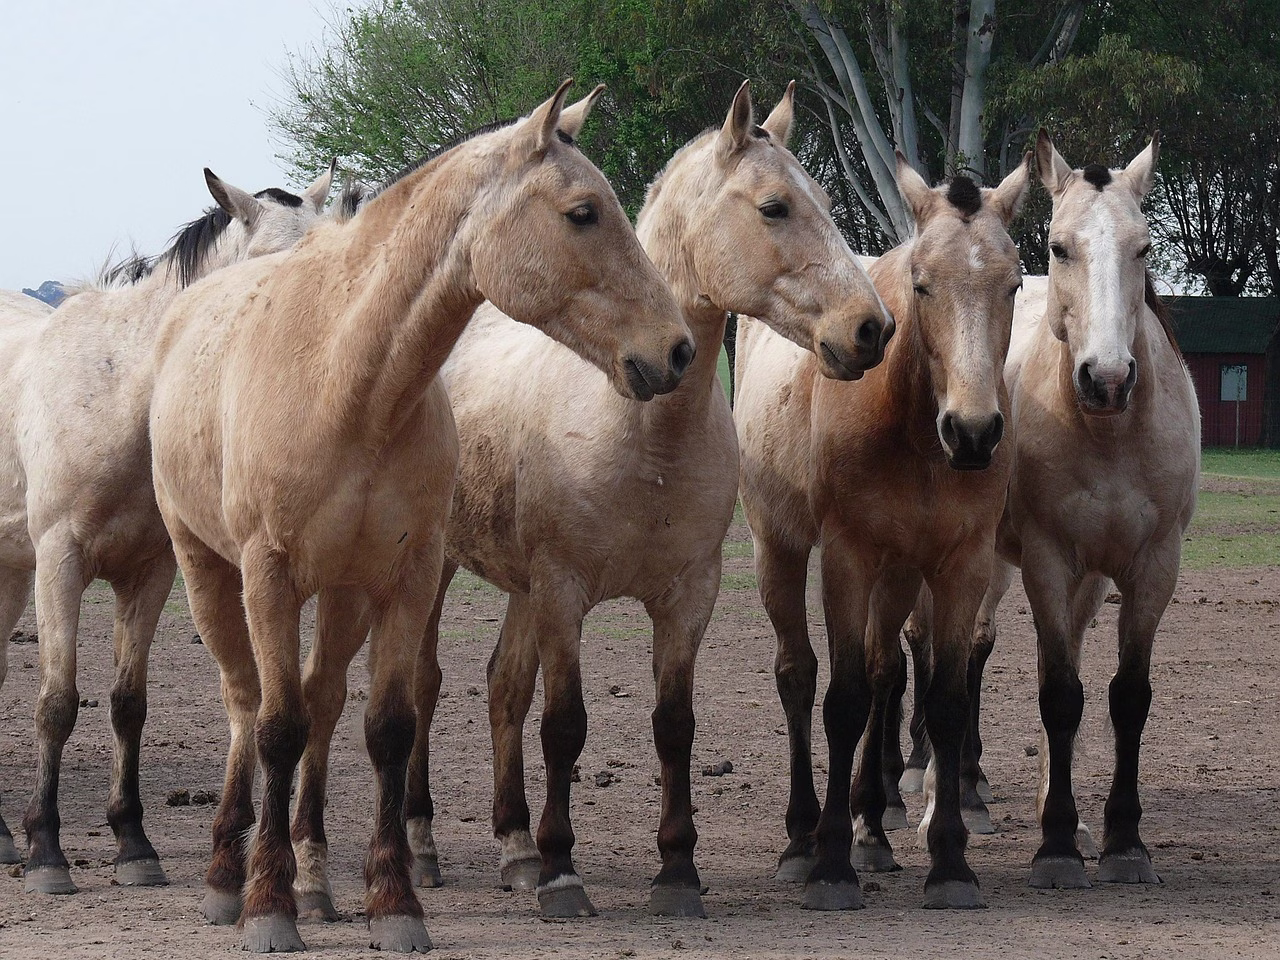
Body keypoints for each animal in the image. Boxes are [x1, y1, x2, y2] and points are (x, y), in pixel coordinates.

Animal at [0, 166, 332, 893]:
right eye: (272, 262)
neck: (118, 394)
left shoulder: (149, 571)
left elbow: (128, 703)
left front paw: (133, 843)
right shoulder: (59, 561)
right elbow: (57, 702)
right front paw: (46, 851)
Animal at [147, 81, 693, 954]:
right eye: (582, 212)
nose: (674, 350)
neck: (347, 384)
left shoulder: (405, 577)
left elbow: (387, 729)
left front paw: (394, 900)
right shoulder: (269, 576)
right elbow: (276, 727)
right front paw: (269, 907)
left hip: (343, 594)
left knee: (323, 698)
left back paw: (315, 879)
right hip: (208, 571)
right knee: (245, 703)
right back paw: (230, 878)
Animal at [346, 80, 894, 922]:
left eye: (828, 201)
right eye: (773, 207)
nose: (870, 329)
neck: (642, 437)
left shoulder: (685, 597)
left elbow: (673, 725)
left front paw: (676, 870)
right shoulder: (564, 591)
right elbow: (565, 726)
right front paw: (564, 874)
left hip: (517, 587)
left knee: (503, 688)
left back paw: (514, 847)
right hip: (437, 572)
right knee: (429, 688)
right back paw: (427, 846)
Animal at [735, 152, 1030, 911]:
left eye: (1014, 283)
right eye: (922, 285)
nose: (974, 433)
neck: (914, 428)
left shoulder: (961, 565)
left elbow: (942, 699)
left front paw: (949, 862)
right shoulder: (848, 557)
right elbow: (842, 700)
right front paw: (831, 865)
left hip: (900, 573)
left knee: (883, 670)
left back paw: (872, 824)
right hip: (781, 548)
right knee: (799, 676)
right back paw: (802, 838)